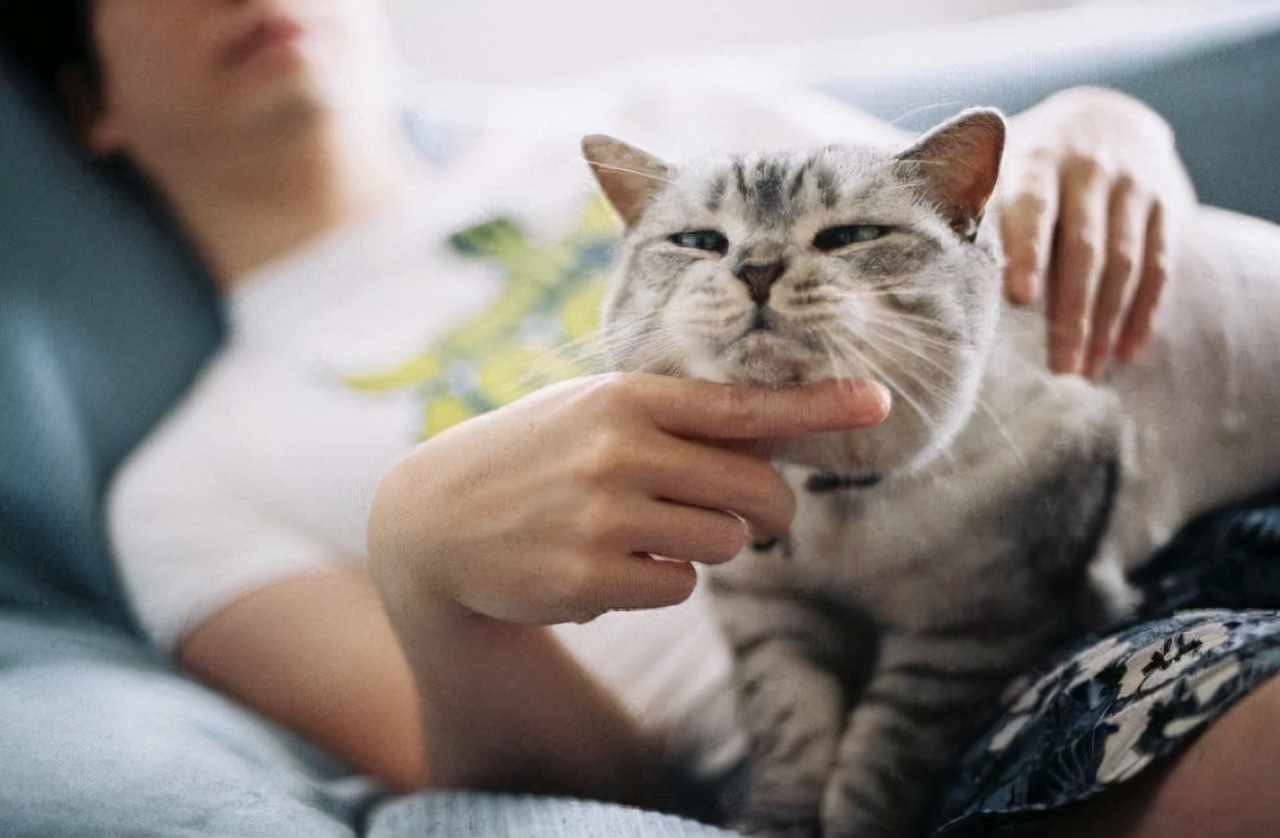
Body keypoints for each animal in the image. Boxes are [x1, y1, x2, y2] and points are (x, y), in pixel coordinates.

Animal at [583, 111, 1280, 838]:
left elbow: (874, 765)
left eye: (849, 237)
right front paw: (776, 824)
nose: (757, 268)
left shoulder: (962, 638)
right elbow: (794, 742)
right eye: (700, 242)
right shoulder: (772, 618)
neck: (831, 493)